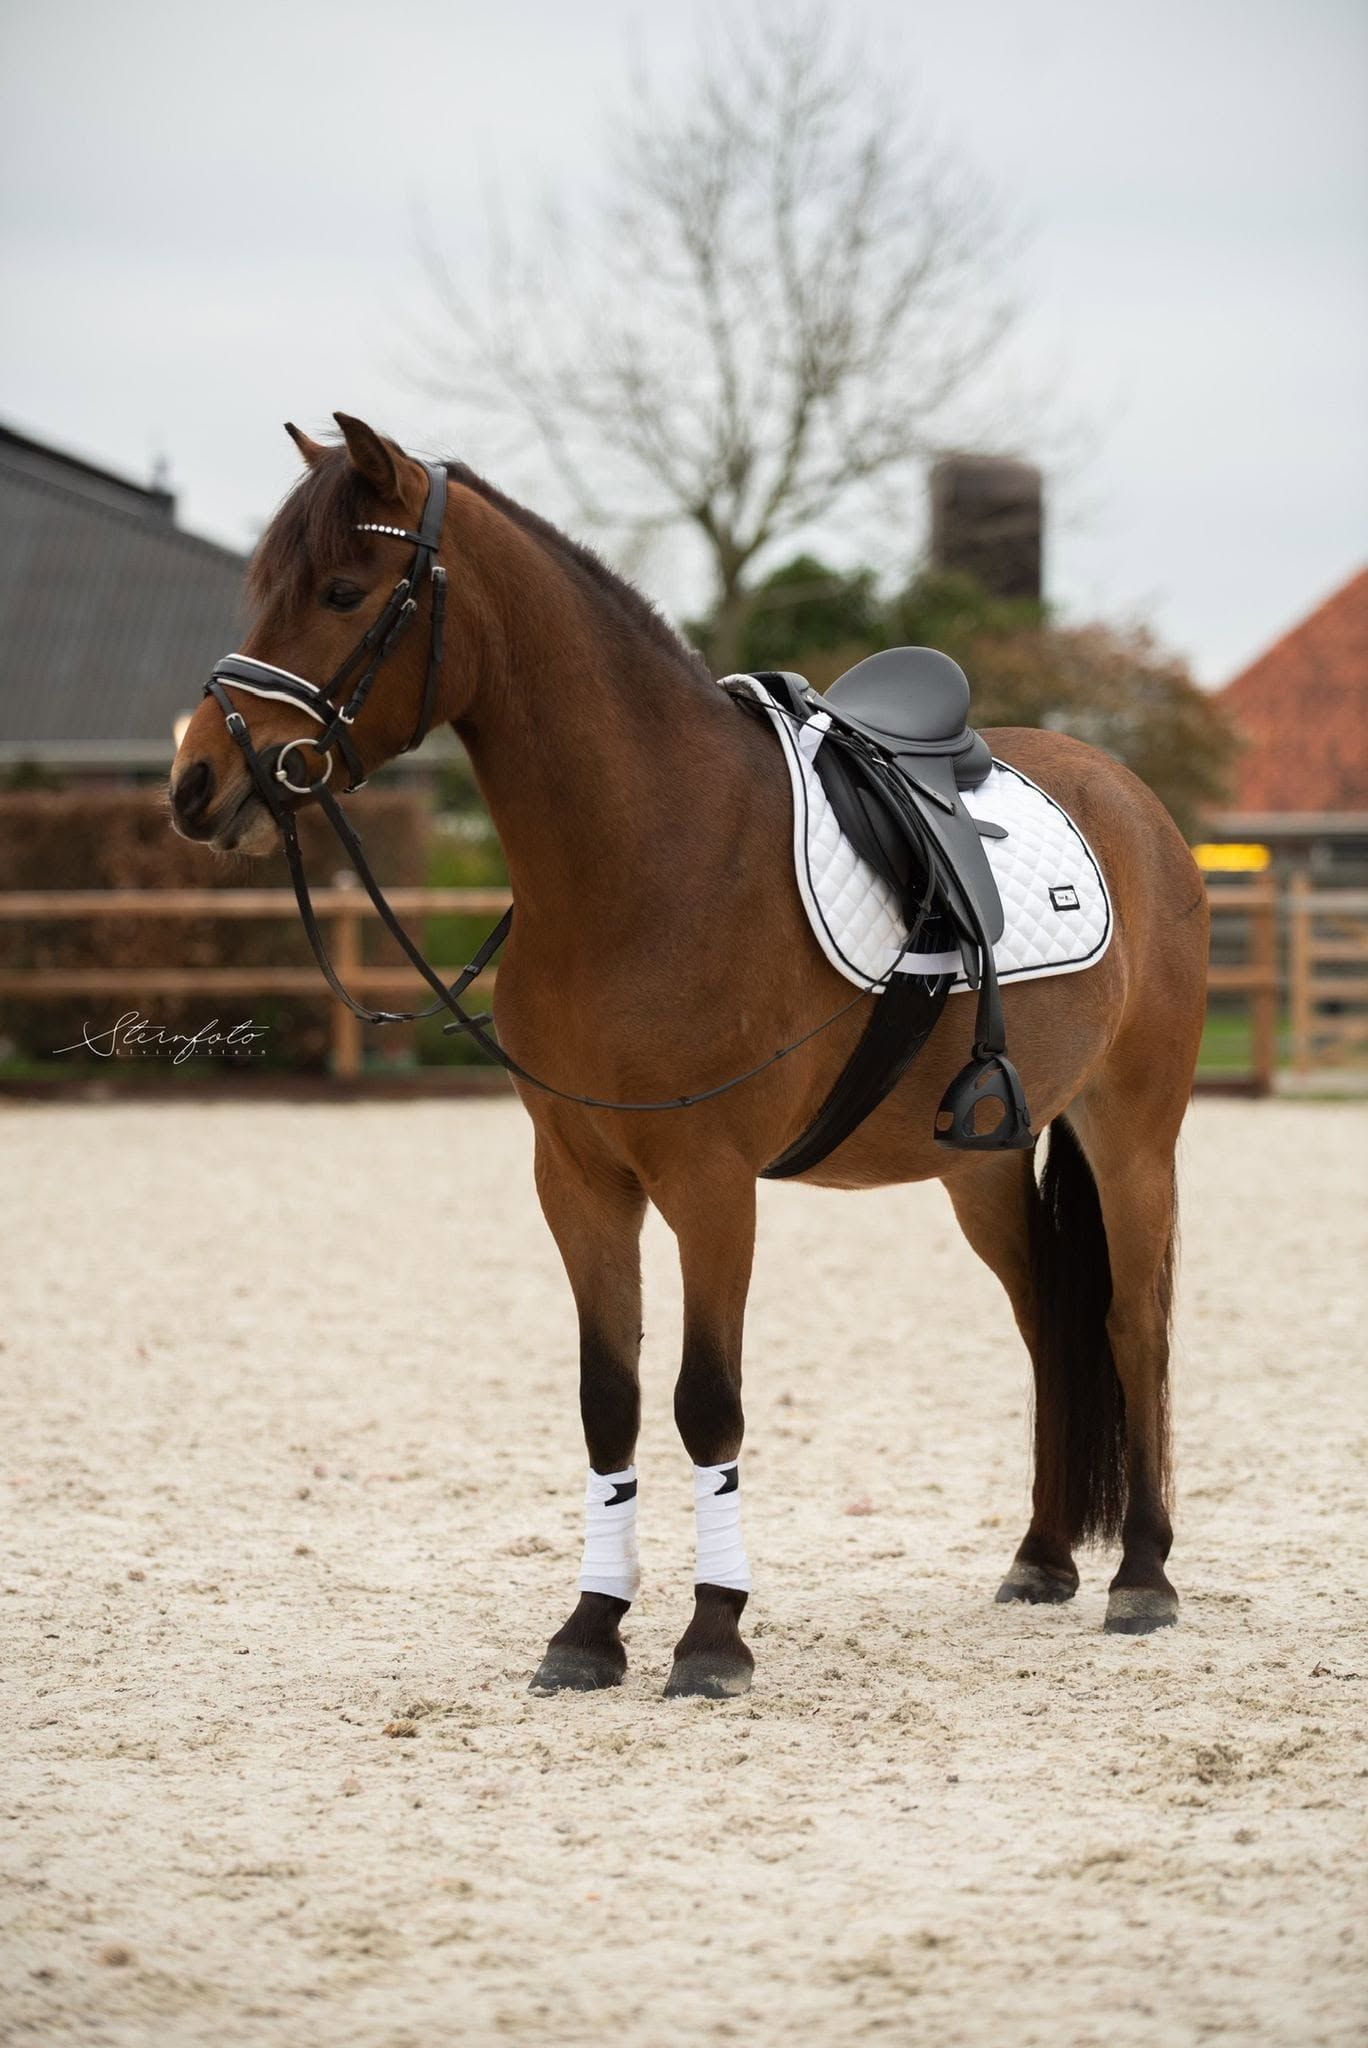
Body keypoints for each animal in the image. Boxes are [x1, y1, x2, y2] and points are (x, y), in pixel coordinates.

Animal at [169, 413, 1210, 1699]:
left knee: (1131, 1322)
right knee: (1048, 1326)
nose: (194, 780)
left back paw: (1144, 1574)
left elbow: (707, 1402)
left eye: (344, 590)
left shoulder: (712, 1185)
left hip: (1133, 1135)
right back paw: (1043, 1555)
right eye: (265, 588)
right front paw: (589, 1626)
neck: (649, 854)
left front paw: (714, 1634)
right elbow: (607, 1399)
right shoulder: (579, 1180)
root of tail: (1129, 795)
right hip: (978, 1164)